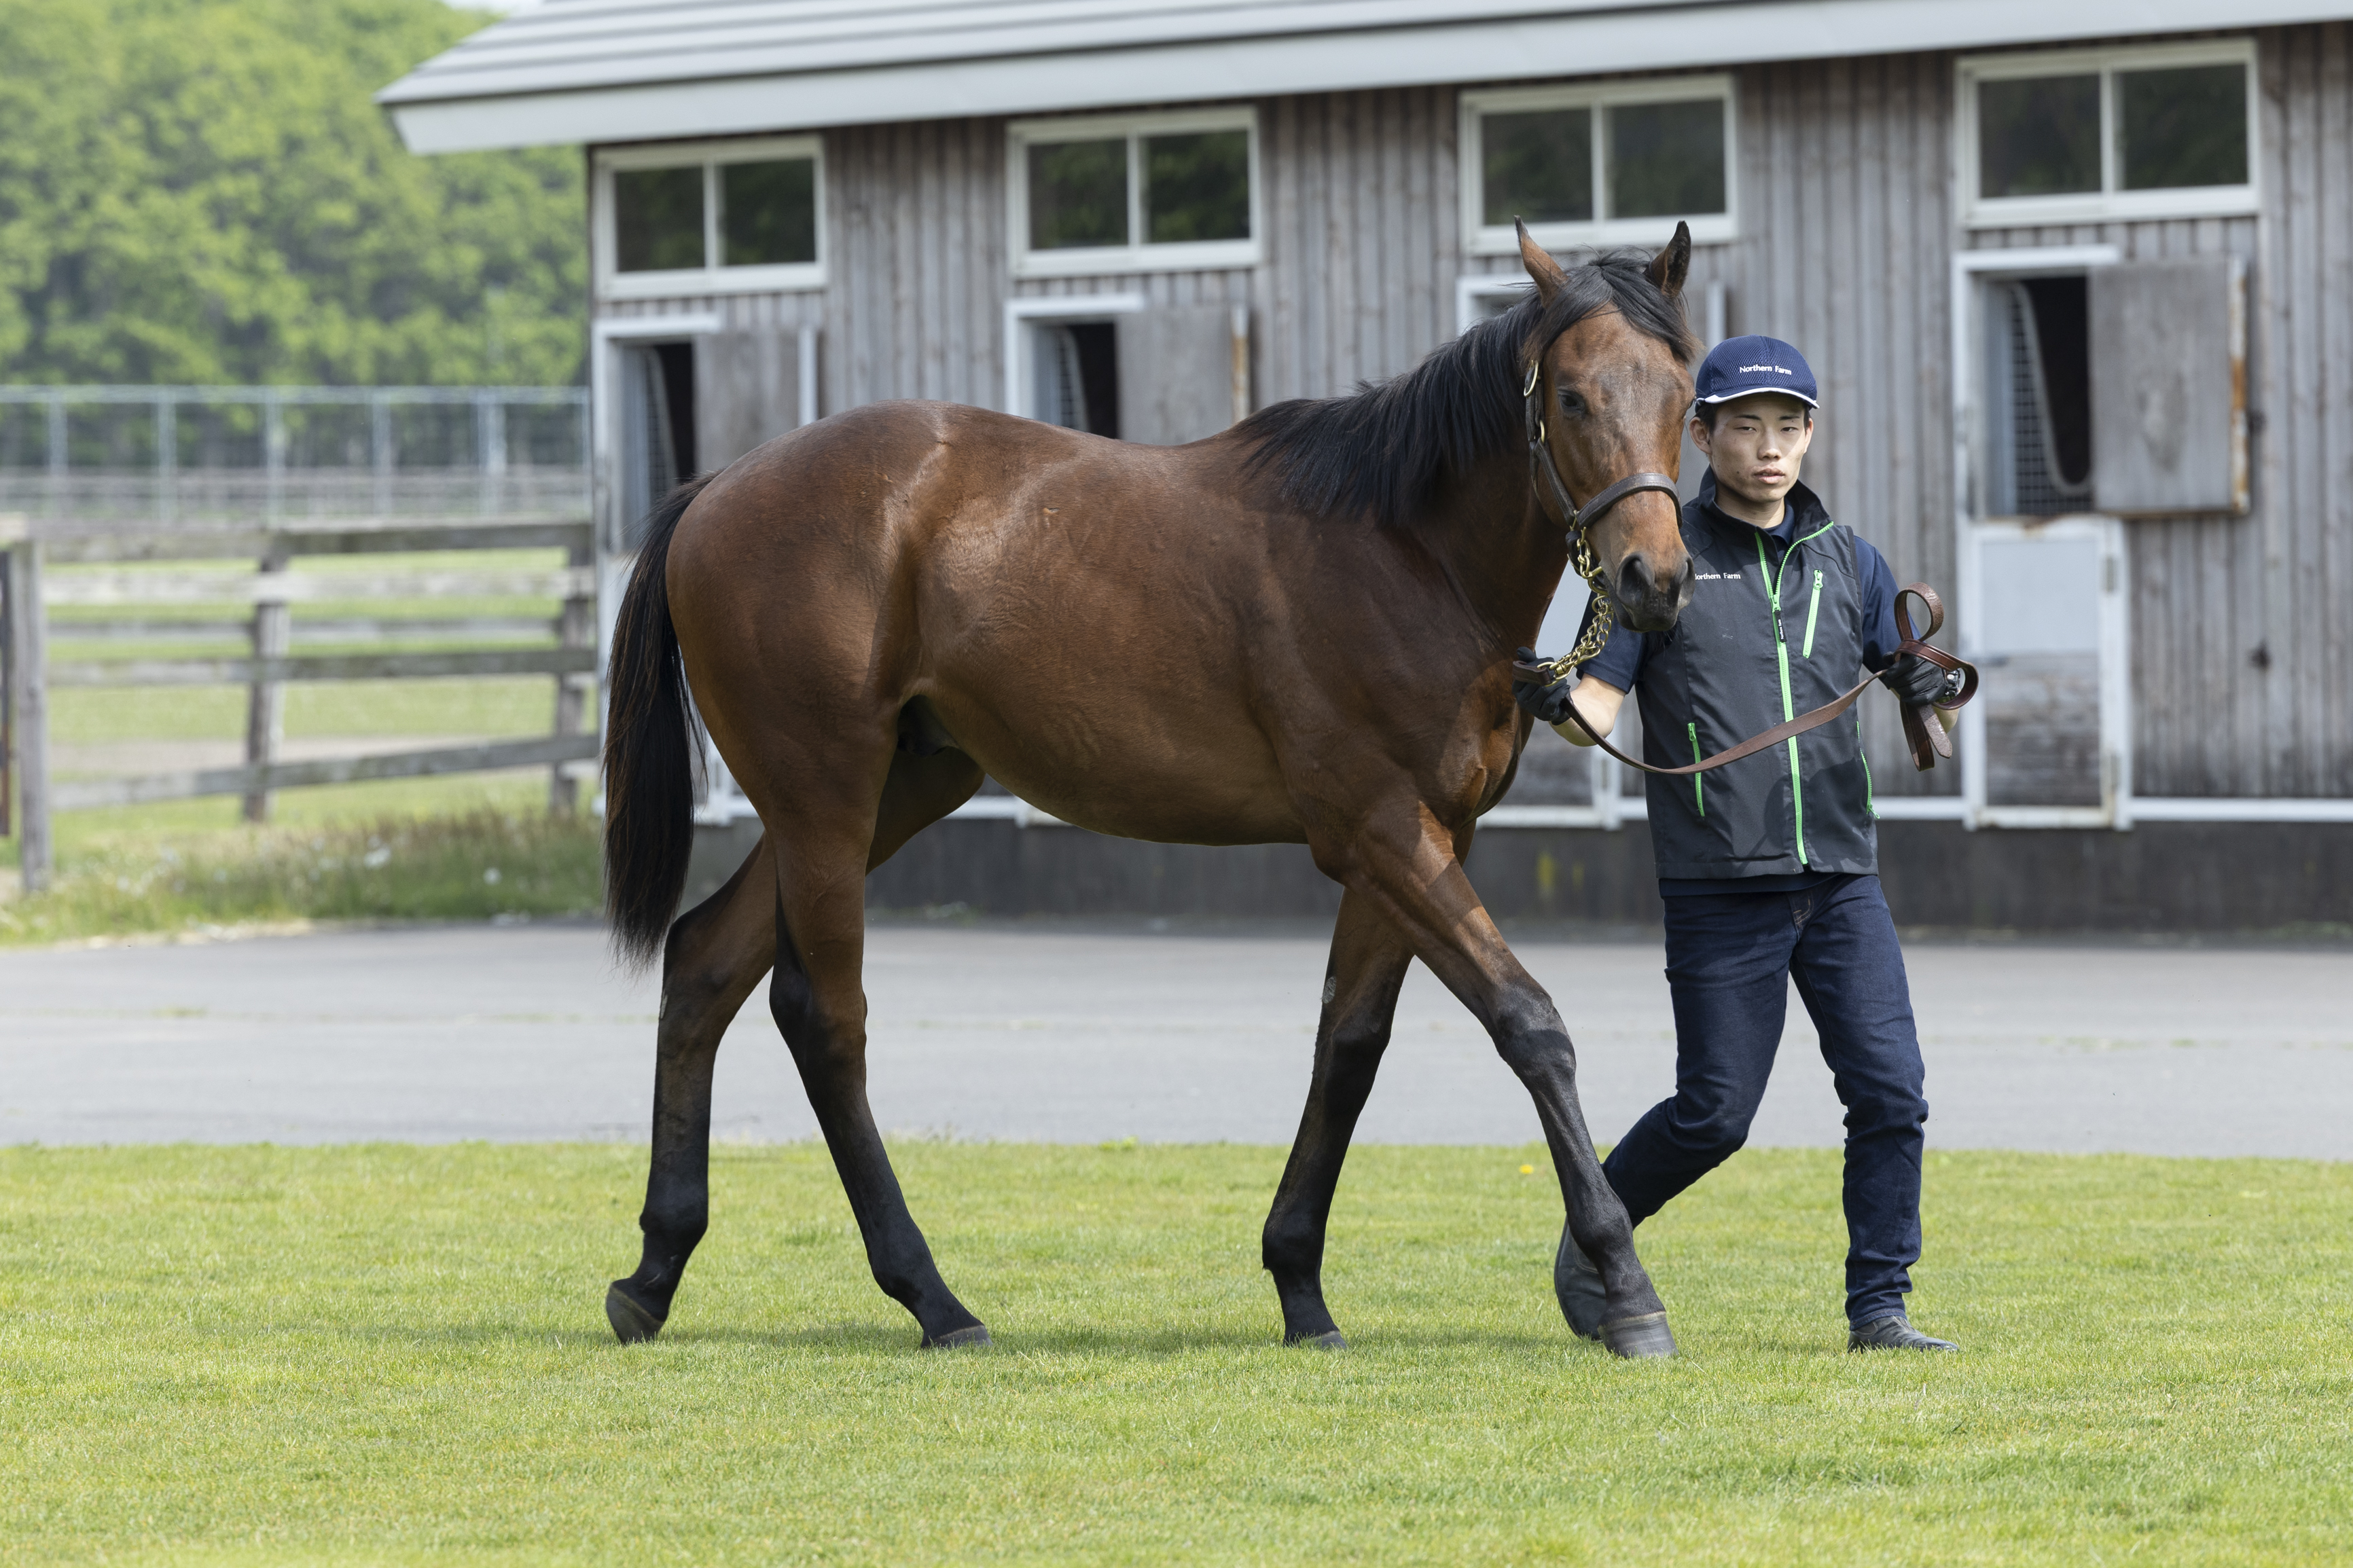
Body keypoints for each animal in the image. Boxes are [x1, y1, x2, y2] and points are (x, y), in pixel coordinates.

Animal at [598, 224, 1702, 1359]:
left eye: (1683, 388)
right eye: (1571, 396)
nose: (1654, 578)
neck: (1405, 551)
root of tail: (719, 488)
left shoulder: (1426, 837)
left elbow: (1349, 1044)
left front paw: (1300, 1285)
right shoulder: (1383, 832)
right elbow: (1528, 1022)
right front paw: (1625, 1286)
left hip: (888, 790)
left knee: (705, 963)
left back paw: (654, 1271)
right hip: (827, 799)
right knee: (824, 1017)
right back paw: (932, 1297)